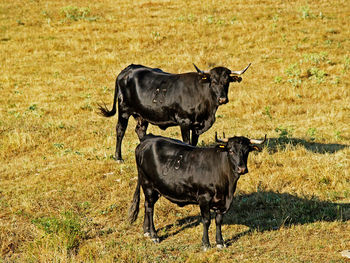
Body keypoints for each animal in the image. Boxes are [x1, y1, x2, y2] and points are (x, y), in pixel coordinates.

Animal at [98, 64, 252, 163]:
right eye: (213, 81)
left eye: (227, 81)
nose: (222, 99)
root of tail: (128, 69)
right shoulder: (184, 122)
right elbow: (187, 142)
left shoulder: (197, 125)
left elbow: (194, 142)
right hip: (124, 109)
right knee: (120, 130)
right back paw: (118, 157)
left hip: (142, 115)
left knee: (140, 130)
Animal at [129, 133, 266, 251]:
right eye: (231, 150)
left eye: (247, 151)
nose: (242, 168)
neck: (228, 188)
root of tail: (147, 140)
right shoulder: (204, 198)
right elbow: (206, 220)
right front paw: (206, 244)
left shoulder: (222, 202)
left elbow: (218, 220)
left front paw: (220, 243)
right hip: (148, 185)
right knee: (150, 208)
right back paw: (154, 235)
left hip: (154, 188)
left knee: (147, 205)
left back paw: (146, 231)